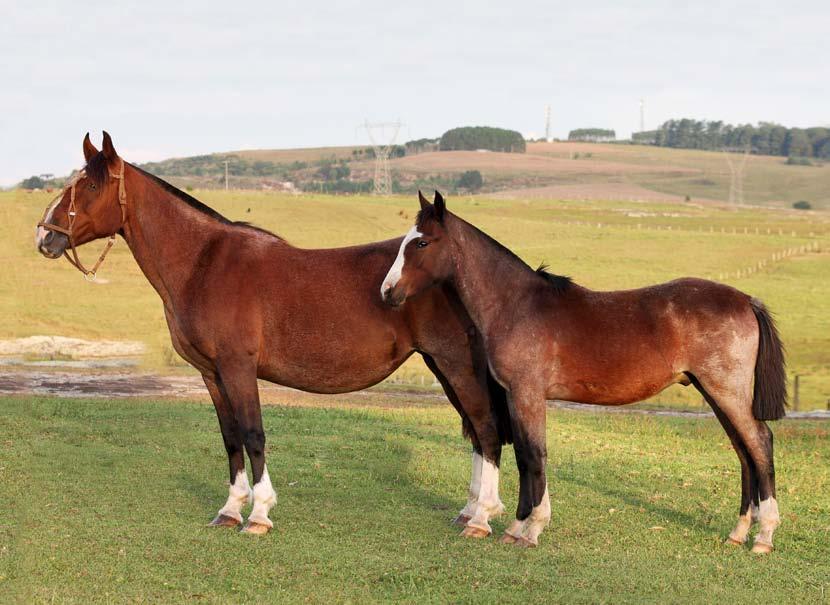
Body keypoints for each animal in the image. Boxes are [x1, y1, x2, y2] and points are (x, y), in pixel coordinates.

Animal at [37, 132, 512, 532]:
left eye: (90, 187)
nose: (45, 237)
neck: (204, 264)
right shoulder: (211, 373)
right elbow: (230, 438)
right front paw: (230, 509)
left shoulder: (238, 368)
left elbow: (253, 434)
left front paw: (259, 514)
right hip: (442, 366)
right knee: (476, 432)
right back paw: (469, 510)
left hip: (456, 364)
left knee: (486, 429)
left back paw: (481, 518)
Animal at [380, 191, 788, 548]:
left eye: (421, 243)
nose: (387, 292)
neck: (517, 305)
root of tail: (746, 300)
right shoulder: (517, 396)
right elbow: (524, 456)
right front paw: (517, 526)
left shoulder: (528, 394)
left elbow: (534, 455)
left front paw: (530, 529)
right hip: (715, 392)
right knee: (744, 451)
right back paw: (739, 532)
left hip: (726, 391)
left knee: (760, 443)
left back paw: (764, 537)